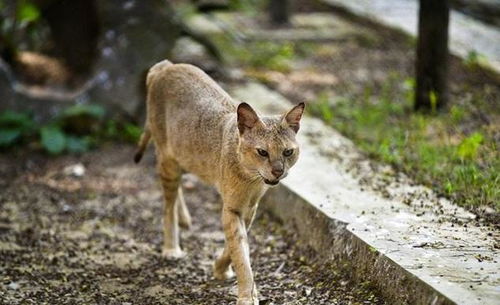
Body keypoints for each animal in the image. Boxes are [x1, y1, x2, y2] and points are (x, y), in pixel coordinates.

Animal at [134, 60, 304, 304]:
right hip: (168, 159)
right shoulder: (232, 208)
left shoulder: (249, 208)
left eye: (288, 152)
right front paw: (246, 295)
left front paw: (221, 268)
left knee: (175, 192)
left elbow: (235, 246)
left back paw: (184, 218)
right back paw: (171, 247)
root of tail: (167, 65)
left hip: (185, 156)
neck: (252, 179)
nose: (278, 171)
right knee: (167, 204)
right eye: (262, 152)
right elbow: (240, 252)